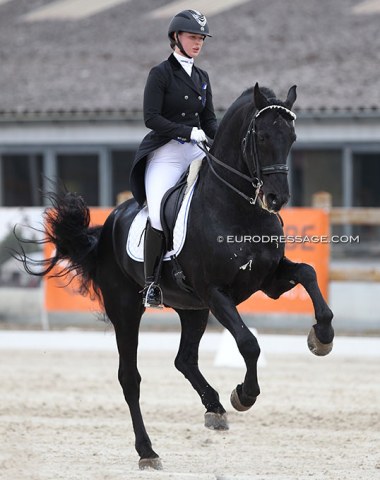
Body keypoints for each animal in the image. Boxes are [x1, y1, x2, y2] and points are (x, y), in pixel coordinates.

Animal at [19, 82, 334, 468]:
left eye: (291, 137)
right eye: (261, 135)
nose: (277, 198)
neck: (237, 209)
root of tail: (108, 224)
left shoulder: (268, 280)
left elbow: (308, 273)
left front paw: (322, 336)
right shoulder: (216, 293)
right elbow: (249, 343)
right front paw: (244, 394)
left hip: (192, 309)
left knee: (184, 359)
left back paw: (214, 408)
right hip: (127, 310)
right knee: (130, 379)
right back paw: (148, 452)